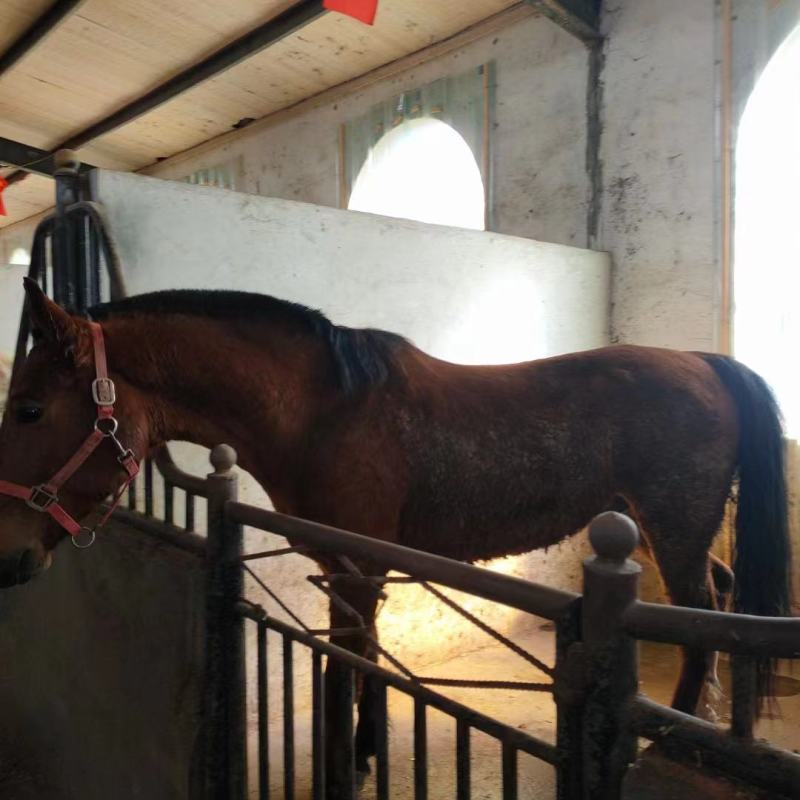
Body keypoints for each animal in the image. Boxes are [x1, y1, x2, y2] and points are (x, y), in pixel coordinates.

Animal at [0, 279, 791, 792]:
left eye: (31, 409)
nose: (10, 557)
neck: (322, 412)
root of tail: (705, 362)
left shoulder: (355, 567)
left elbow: (344, 664)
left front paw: (344, 767)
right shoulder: (348, 565)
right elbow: (366, 656)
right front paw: (368, 750)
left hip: (671, 524)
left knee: (700, 615)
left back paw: (667, 734)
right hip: (662, 524)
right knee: (715, 597)